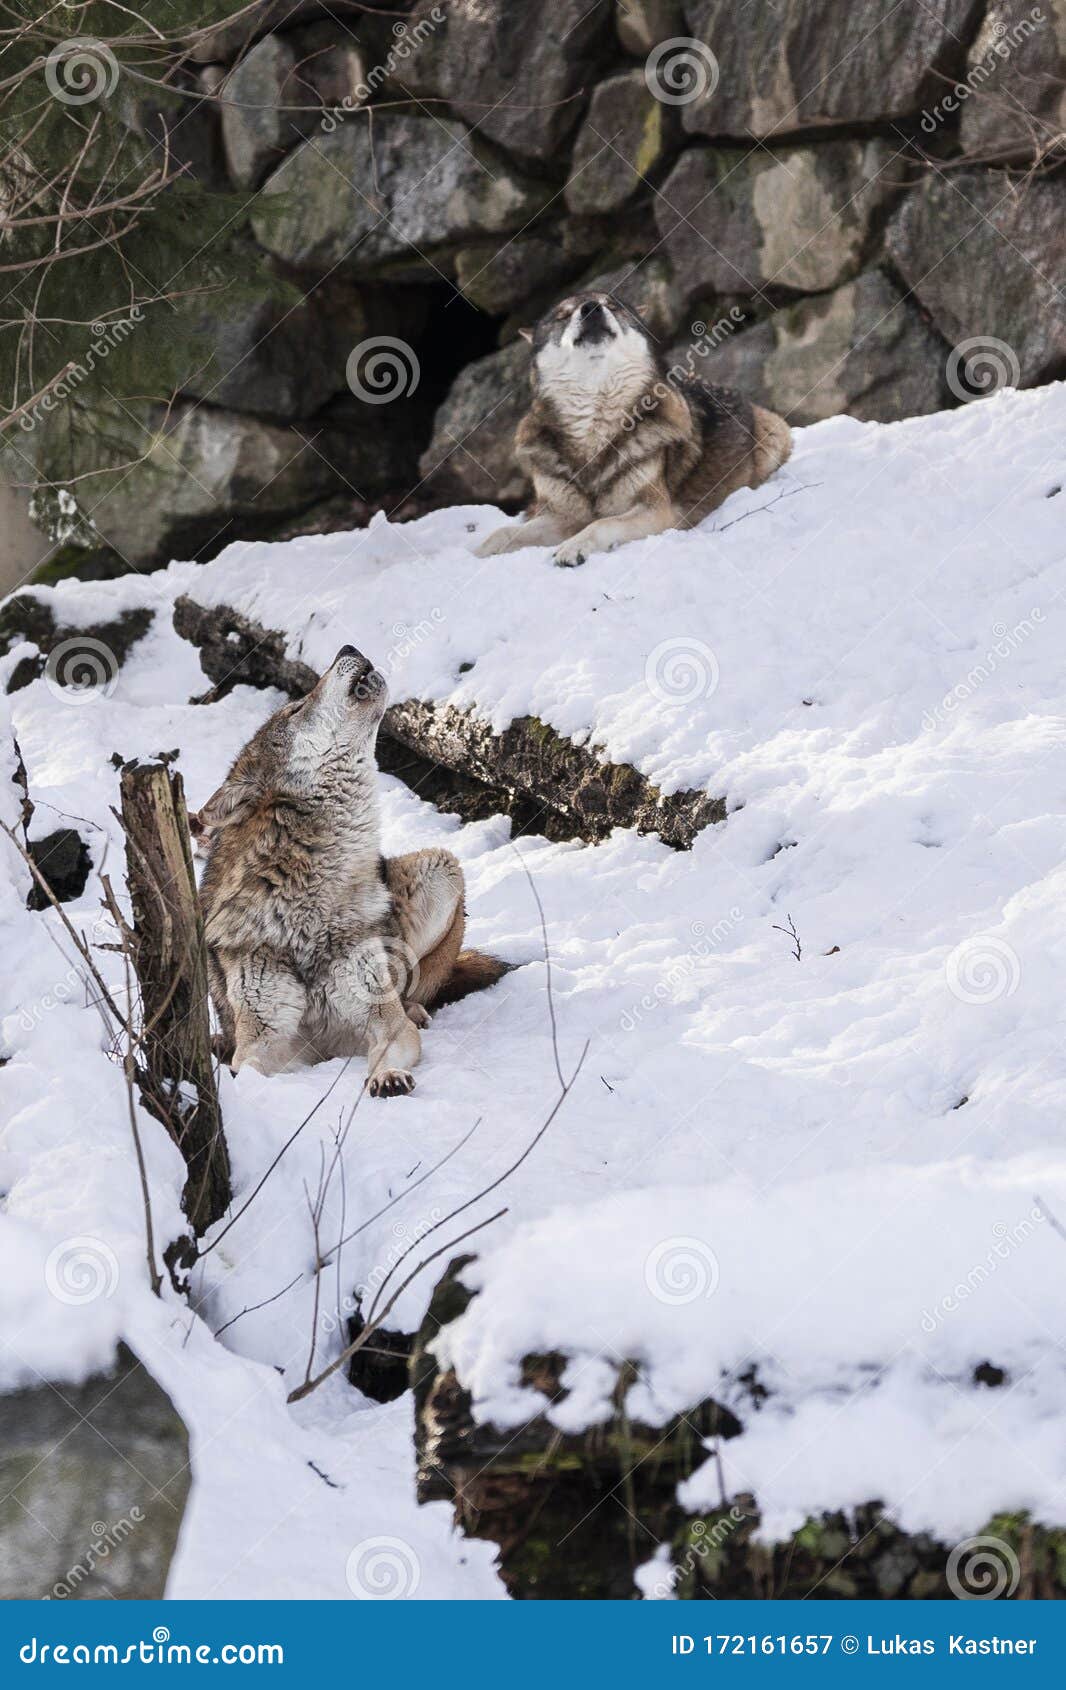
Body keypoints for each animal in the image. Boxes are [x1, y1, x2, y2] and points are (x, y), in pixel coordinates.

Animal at [196, 645, 513, 1095]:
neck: (304, 908)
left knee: (422, 989)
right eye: (295, 709)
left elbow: (388, 1046)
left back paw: (417, 1010)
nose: (348, 648)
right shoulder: (269, 1039)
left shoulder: (382, 1020)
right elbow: (248, 1068)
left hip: (441, 868)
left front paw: (387, 1076)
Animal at [476, 294, 794, 571]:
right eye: (563, 315)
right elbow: (500, 534)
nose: (591, 308)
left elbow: (601, 523)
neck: (594, 423)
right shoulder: (562, 517)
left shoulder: (657, 511)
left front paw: (571, 548)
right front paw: (472, 555)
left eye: (612, 305)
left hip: (775, 435)